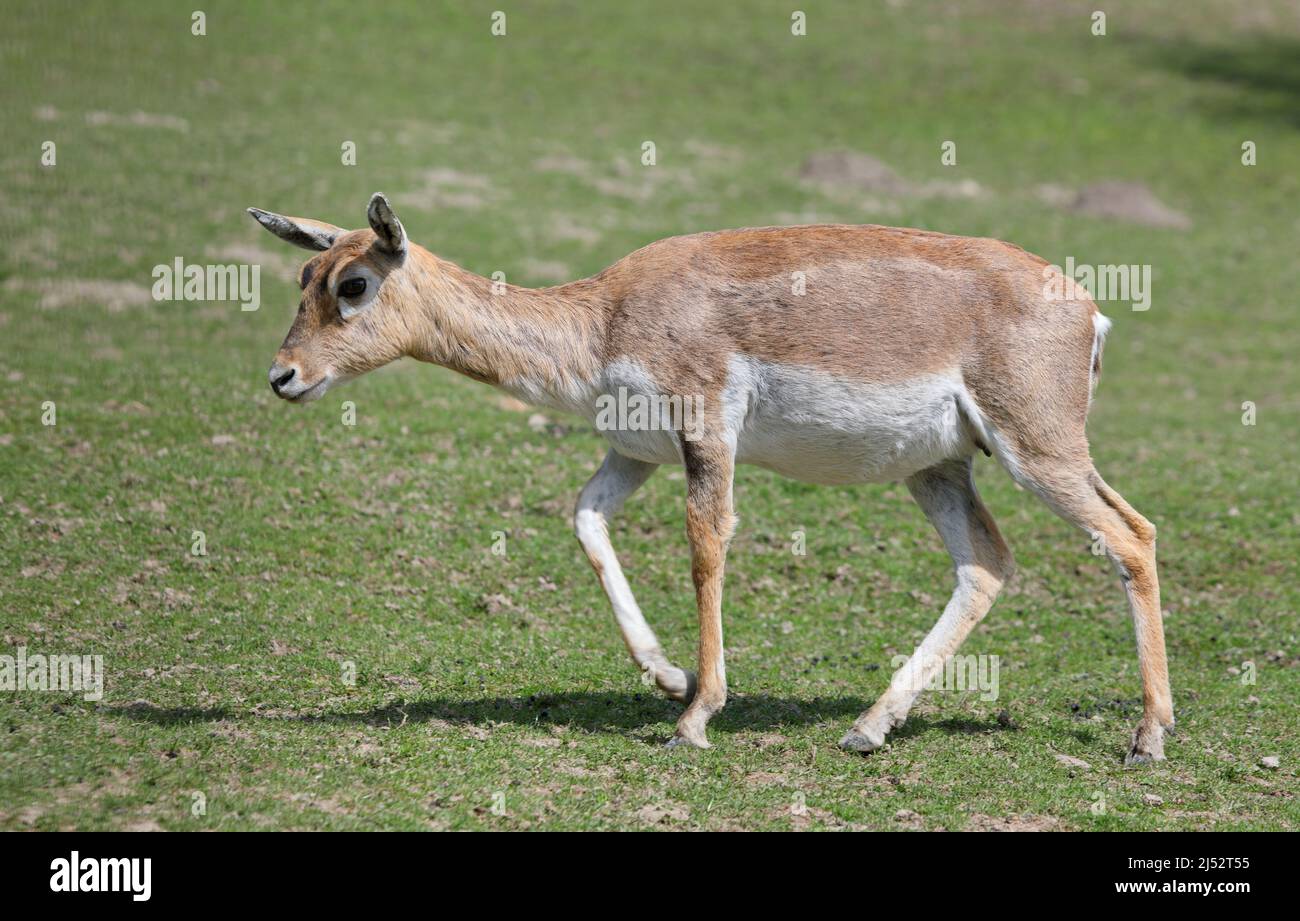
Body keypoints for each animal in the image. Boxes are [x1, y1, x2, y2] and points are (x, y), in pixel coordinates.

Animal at [248, 192, 1175, 764]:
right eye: (303, 276)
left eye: (354, 283)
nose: (284, 376)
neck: (602, 318)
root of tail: (1085, 305)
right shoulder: (634, 451)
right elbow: (585, 520)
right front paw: (667, 677)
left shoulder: (706, 434)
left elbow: (705, 547)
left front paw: (694, 718)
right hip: (939, 468)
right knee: (986, 563)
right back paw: (868, 728)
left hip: (1037, 449)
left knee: (1131, 535)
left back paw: (1148, 738)